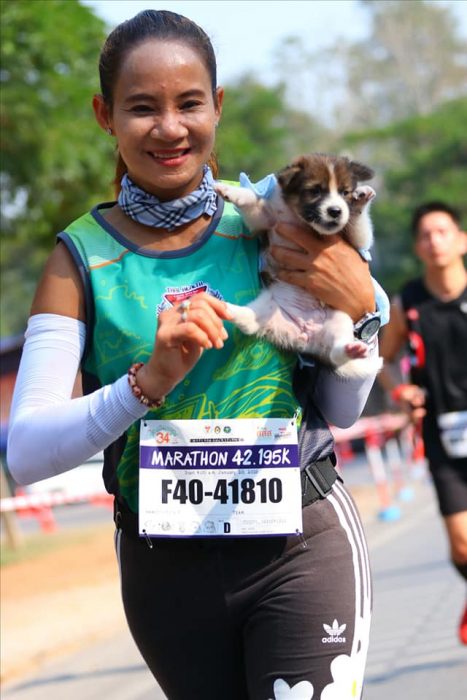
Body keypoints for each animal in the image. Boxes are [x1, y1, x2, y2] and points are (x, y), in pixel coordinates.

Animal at [216, 154, 384, 380]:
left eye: (344, 192)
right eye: (315, 191)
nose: (336, 211)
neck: (303, 221)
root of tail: (305, 337)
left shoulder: (357, 241)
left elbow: (358, 227)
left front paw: (361, 199)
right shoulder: (264, 219)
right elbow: (252, 199)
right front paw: (230, 191)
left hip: (340, 320)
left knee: (336, 353)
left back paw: (352, 350)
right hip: (268, 307)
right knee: (249, 321)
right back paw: (223, 308)